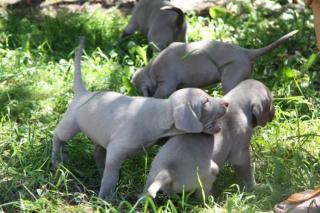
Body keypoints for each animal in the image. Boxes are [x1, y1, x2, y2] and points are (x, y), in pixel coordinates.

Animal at [52, 38, 228, 200]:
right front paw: (107, 197)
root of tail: (83, 93)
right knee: (58, 136)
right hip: (71, 124)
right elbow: (111, 176)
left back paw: (97, 168)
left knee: (98, 152)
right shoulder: (116, 150)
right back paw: (57, 160)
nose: (226, 103)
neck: (161, 113)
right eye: (205, 102)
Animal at [142, 79, 276, 199]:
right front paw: (255, 188)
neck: (237, 104)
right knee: (201, 198)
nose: (274, 114)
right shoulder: (241, 154)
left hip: (151, 179)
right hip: (211, 171)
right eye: (271, 101)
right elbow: (247, 174)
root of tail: (165, 172)